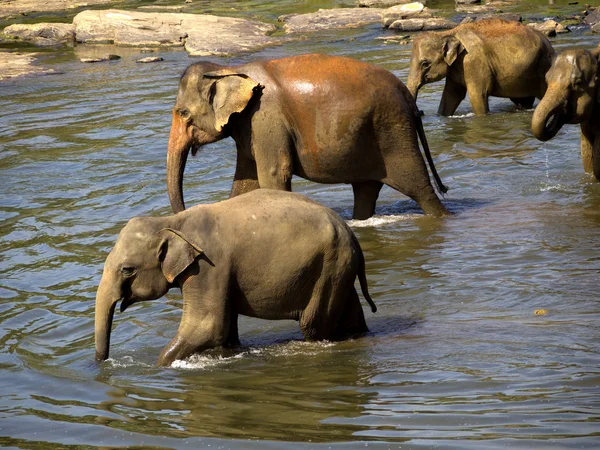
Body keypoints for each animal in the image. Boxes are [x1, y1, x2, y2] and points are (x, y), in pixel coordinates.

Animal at [94, 188, 378, 368]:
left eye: (127, 269)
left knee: (314, 325)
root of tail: (351, 234)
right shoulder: (218, 274)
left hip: (327, 267)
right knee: (350, 315)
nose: (103, 363)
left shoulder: (208, 267)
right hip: (338, 268)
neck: (172, 222)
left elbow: (208, 326)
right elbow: (226, 330)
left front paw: (158, 366)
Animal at [166, 53, 448, 221]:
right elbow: (245, 181)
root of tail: (407, 94)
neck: (228, 68)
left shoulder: (266, 118)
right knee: (366, 190)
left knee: (419, 188)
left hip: (393, 131)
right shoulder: (249, 126)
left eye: (183, 113)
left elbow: (272, 174)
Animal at [406, 18, 556, 116]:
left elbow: (477, 95)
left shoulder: (473, 61)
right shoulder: (456, 68)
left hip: (543, 67)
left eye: (425, 63)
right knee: (524, 100)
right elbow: (451, 95)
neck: (448, 33)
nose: (421, 112)